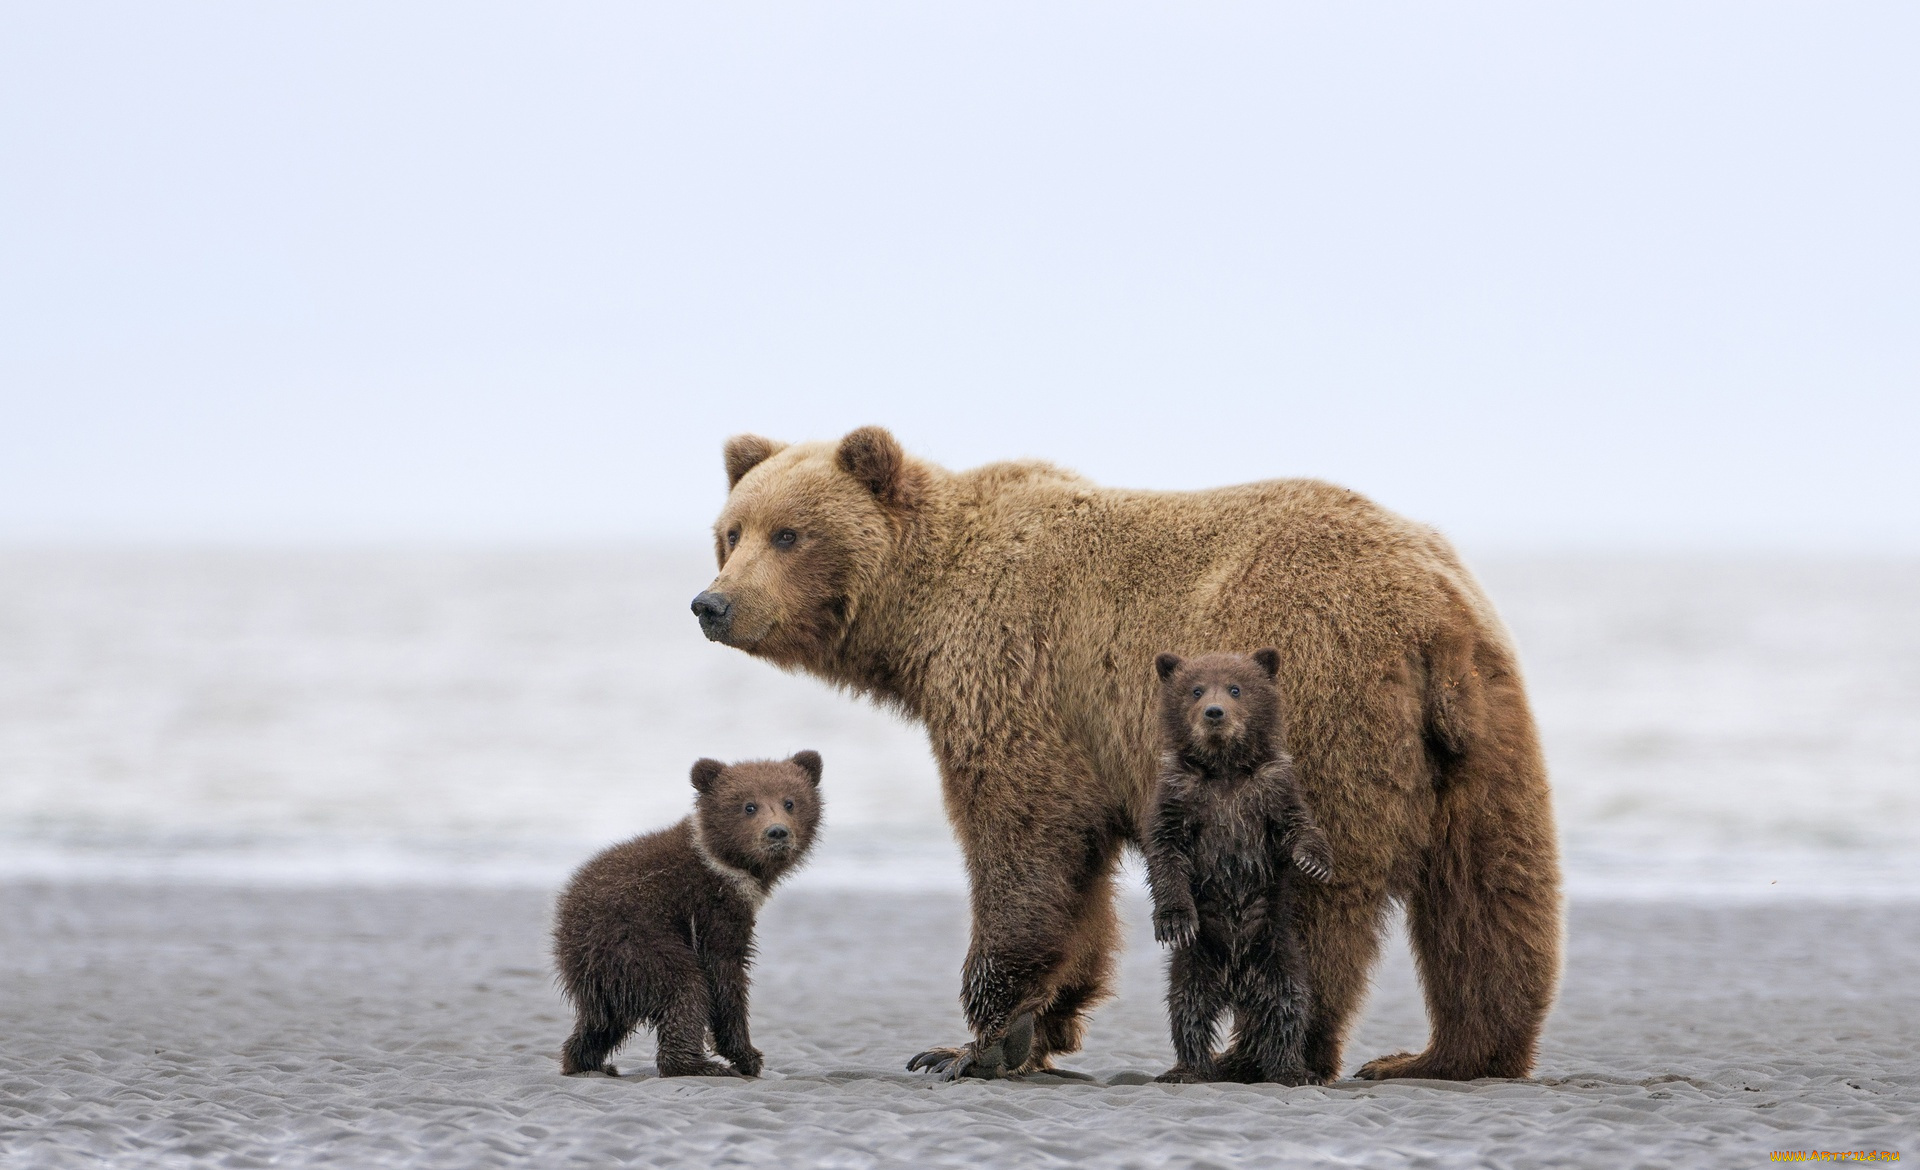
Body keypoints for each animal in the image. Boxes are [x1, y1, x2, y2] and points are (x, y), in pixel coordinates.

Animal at [691, 426, 1559, 1075]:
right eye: (730, 531)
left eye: (790, 533)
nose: (713, 603)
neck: (921, 614)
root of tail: (1430, 614)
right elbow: (1078, 879)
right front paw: (1041, 1025)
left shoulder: (1017, 674)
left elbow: (1024, 842)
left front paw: (971, 1041)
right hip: (1482, 730)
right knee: (1491, 888)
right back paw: (1449, 1054)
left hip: (1318, 703)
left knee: (1313, 897)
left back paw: (1255, 1055)